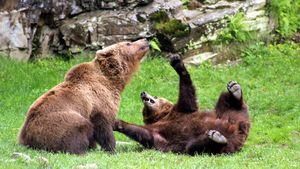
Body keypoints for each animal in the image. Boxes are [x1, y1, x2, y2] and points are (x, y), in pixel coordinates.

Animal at [18, 38, 149, 154]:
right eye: (128, 43)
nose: (145, 40)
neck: (112, 81)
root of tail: (27, 139)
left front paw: (95, 146)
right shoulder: (98, 103)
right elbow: (103, 127)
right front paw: (111, 148)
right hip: (58, 123)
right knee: (79, 128)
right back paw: (81, 150)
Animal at [113, 55, 250, 154]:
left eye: (156, 96)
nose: (143, 93)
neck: (162, 116)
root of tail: (238, 133)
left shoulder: (181, 110)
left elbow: (187, 96)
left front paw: (178, 64)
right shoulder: (159, 131)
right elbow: (146, 134)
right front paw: (117, 122)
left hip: (226, 115)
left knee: (226, 102)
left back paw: (235, 91)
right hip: (198, 140)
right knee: (197, 146)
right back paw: (217, 138)